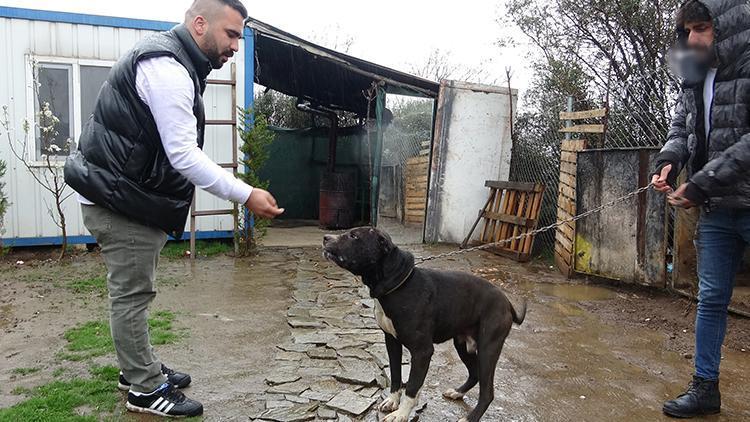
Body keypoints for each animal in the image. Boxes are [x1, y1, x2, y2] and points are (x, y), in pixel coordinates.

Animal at [324, 227, 528, 422]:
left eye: (354, 236)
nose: (325, 238)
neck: (397, 285)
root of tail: (507, 302)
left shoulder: (422, 351)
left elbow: (412, 386)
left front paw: (401, 414)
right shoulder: (392, 342)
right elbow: (396, 376)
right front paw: (392, 401)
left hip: (488, 349)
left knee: (488, 393)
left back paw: (469, 418)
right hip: (463, 345)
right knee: (474, 374)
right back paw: (457, 392)